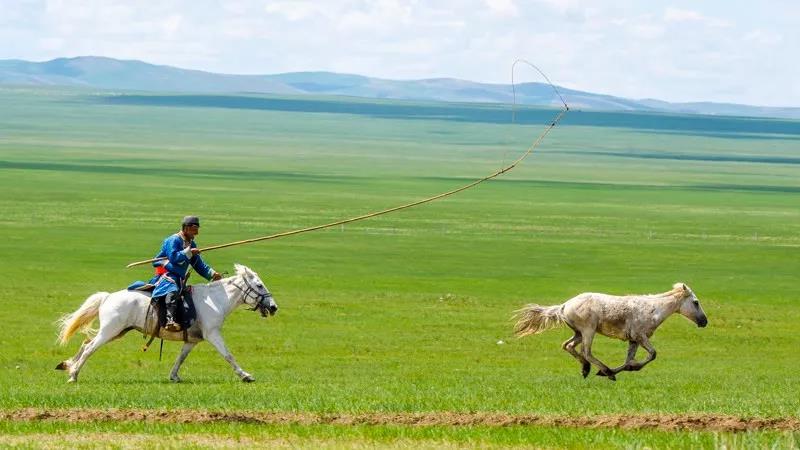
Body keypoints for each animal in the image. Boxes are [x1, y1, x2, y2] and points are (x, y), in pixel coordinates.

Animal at [54, 264, 276, 384]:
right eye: (259, 285)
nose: (274, 307)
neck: (215, 300)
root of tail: (108, 297)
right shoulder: (213, 334)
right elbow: (228, 355)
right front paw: (246, 376)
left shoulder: (193, 340)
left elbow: (180, 358)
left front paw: (174, 376)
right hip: (110, 331)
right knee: (90, 347)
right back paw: (73, 375)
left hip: (117, 331)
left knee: (85, 344)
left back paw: (67, 365)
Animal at [512, 284, 708, 382]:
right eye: (696, 302)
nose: (704, 322)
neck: (653, 310)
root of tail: (564, 305)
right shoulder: (640, 336)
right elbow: (652, 354)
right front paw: (610, 372)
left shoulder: (633, 340)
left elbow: (628, 360)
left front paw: (625, 368)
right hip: (588, 331)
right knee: (586, 352)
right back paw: (603, 370)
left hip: (578, 332)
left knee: (568, 346)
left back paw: (586, 369)